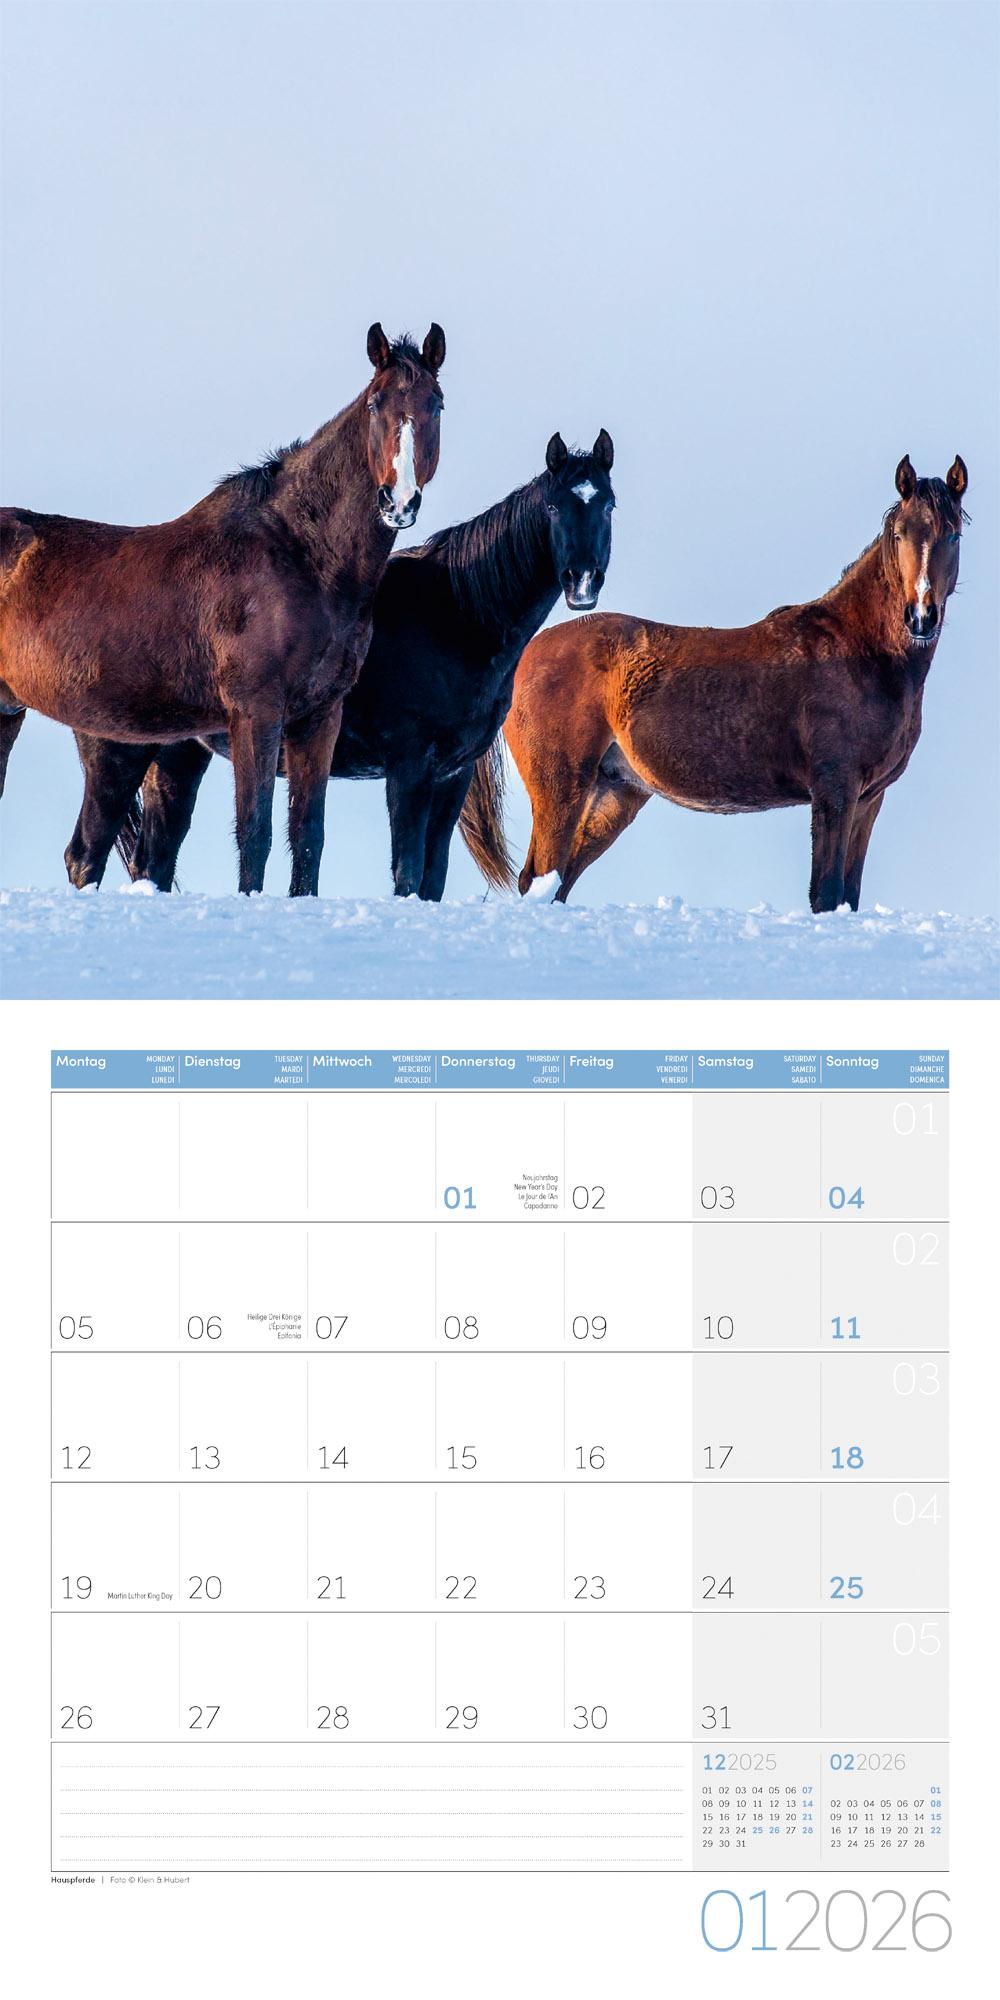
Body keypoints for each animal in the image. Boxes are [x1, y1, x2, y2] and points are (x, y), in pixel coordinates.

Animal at [0, 322, 446, 894]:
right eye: (375, 403)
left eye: (436, 403)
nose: (399, 501)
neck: (301, 555)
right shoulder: (255, 711)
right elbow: (255, 831)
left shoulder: (320, 716)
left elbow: (309, 835)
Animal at [70, 429, 616, 900]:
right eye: (553, 505)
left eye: (608, 504)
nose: (583, 583)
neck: (456, 618)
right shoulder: (410, 769)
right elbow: (407, 871)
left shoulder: (452, 775)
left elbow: (432, 876)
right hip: (123, 754)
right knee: (90, 854)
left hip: (178, 756)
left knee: (153, 858)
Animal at [461, 455, 968, 911]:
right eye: (899, 534)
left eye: (953, 534)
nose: (920, 616)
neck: (858, 650)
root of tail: (528, 652)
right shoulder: (834, 792)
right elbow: (826, 895)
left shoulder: (869, 799)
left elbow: (847, 896)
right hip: (561, 787)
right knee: (539, 878)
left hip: (613, 794)